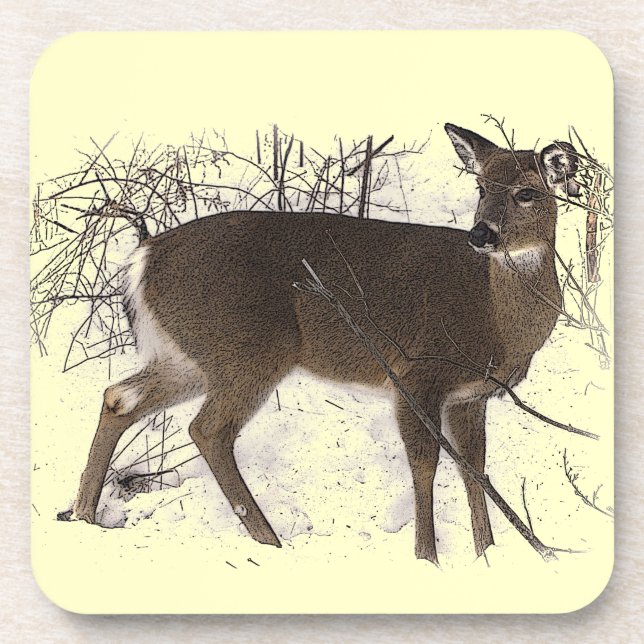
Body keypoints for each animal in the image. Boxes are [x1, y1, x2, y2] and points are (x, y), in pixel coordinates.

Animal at [60, 124, 579, 564]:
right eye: (480, 188)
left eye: (527, 192)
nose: (480, 234)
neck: (493, 316)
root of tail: (142, 259)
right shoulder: (416, 374)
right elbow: (426, 465)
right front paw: (427, 559)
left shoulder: (471, 395)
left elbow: (474, 468)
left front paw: (486, 556)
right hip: (248, 349)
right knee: (208, 429)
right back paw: (269, 541)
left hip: (191, 354)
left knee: (120, 397)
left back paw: (83, 514)